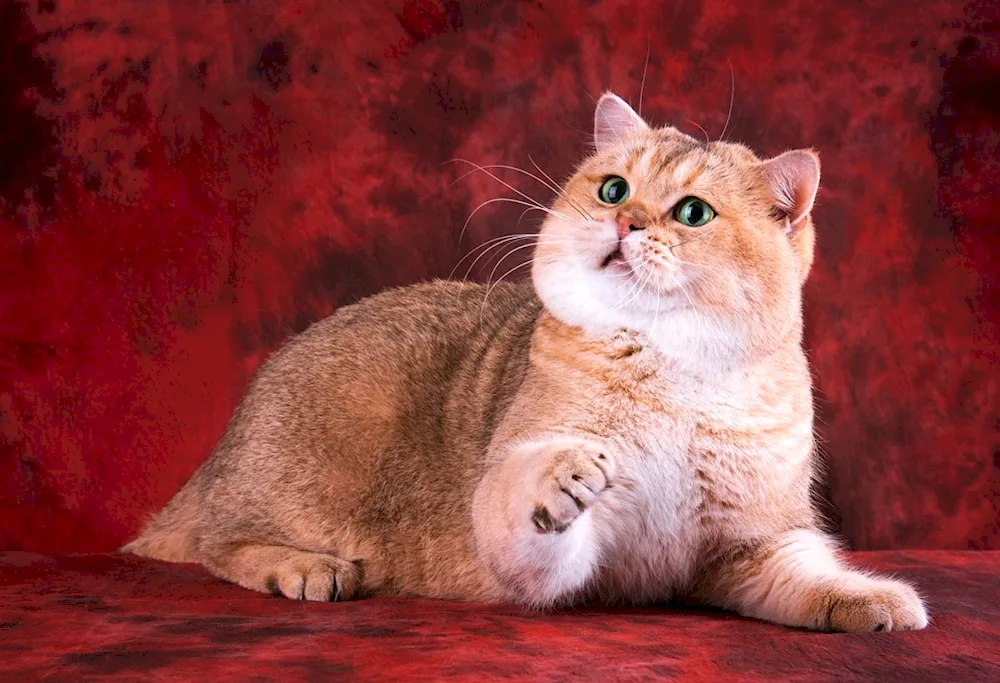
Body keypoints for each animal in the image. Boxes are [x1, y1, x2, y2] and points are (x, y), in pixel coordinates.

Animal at [123, 93, 928, 632]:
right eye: (613, 188)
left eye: (693, 212)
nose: (624, 221)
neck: (675, 375)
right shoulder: (552, 556)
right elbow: (525, 514)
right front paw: (557, 474)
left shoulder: (753, 544)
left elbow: (805, 572)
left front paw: (870, 599)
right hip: (295, 478)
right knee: (216, 542)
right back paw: (302, 566)